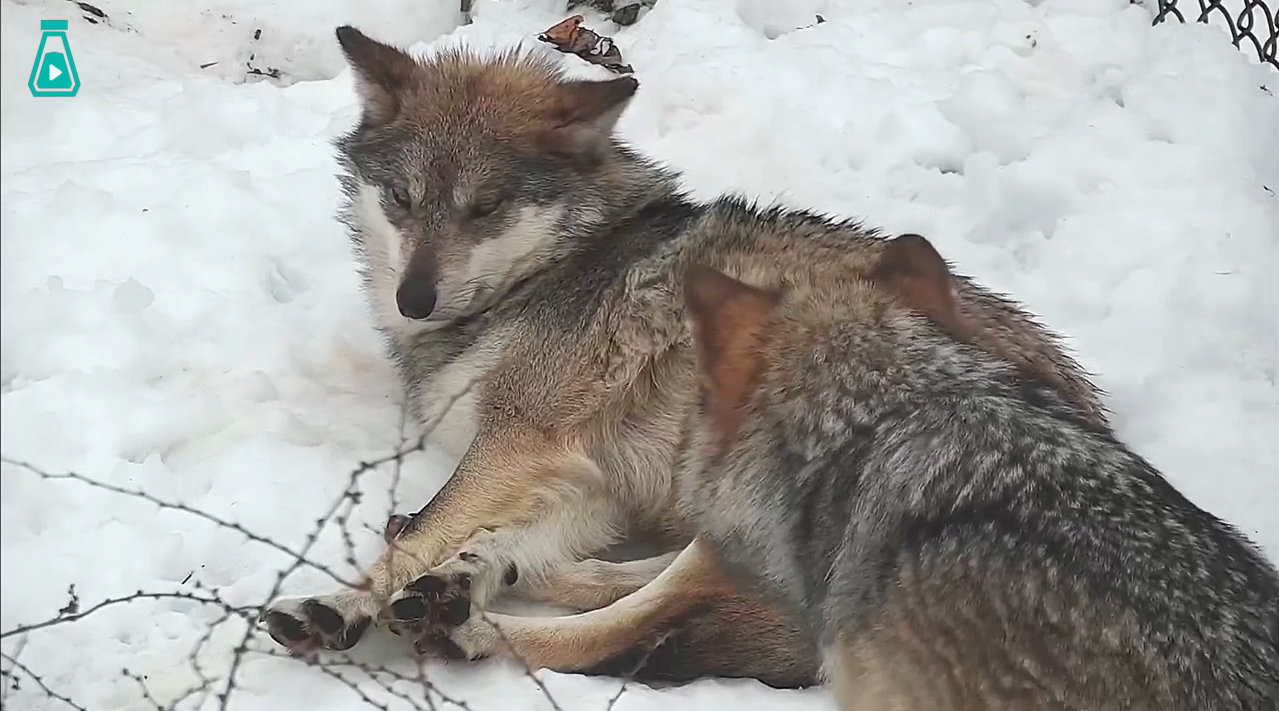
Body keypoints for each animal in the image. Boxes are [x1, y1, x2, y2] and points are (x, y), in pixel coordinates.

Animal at [262, 24, 1120, 685]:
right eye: (403, 200)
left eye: (486, 208)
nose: (414, 298)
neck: (562, 266)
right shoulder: (582, 474)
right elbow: (468, 534)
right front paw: (455, 568)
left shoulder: (518, 442)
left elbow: (423, 534)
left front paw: (336, 603)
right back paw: (466, 586)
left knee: (633, 629)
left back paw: (461, 623)